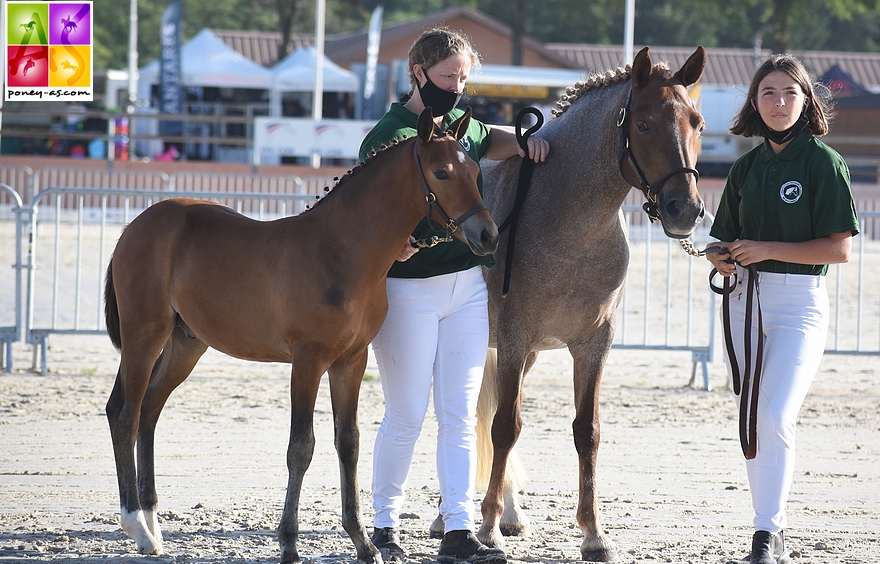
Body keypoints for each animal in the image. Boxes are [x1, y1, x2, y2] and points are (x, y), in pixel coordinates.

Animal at [103, 108, 496, 560]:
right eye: (442, 172)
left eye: (474, 169)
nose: (488, 235)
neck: (341, 252)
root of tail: (135, 225)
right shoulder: (307, 362)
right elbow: (301, 447)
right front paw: (289, 544)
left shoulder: (351, 362)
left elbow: (349, 442)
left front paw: (364, 544)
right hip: (143, 335)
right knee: (126, 415)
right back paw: (137, 527)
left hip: (186, 343)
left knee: (149, 410)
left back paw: (153, 524)